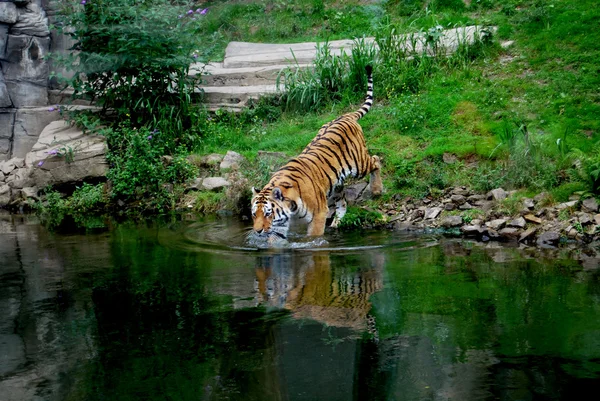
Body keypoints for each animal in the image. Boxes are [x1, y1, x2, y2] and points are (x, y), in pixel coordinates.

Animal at [251, 65, 382, 241]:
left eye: (268, 213)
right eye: (254, 214)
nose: (257, 231)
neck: (290, 210)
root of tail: (346, 116)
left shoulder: (318, 214)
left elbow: (313, 237)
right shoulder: (280, 225)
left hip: (358, 164)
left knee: (375, 160)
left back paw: (376, 190)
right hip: (336, 185)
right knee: (342, 202)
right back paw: (336, 223)